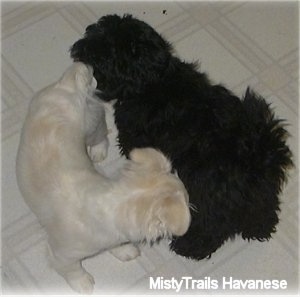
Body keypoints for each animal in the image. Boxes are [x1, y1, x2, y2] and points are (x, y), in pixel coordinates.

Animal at [15, 61, 190, 292]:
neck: (115, 200)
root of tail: (67, 86)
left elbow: (116, 245)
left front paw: (124, 251)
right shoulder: (62, 255)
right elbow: (72, 270)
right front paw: (83, 284)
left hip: (93, 123)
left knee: (101, 137)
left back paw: (98, 152)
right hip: (93, 122)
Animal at [71, 14, 292, 260]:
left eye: (106, 53)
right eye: (98, 30)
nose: (78, 48)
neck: (154, 80)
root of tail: (258, 154)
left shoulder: (135, 135)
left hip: (208, 193)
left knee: (213, 226)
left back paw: (190, 246)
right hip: (260, 192)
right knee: (265, 208)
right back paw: (259, 229)